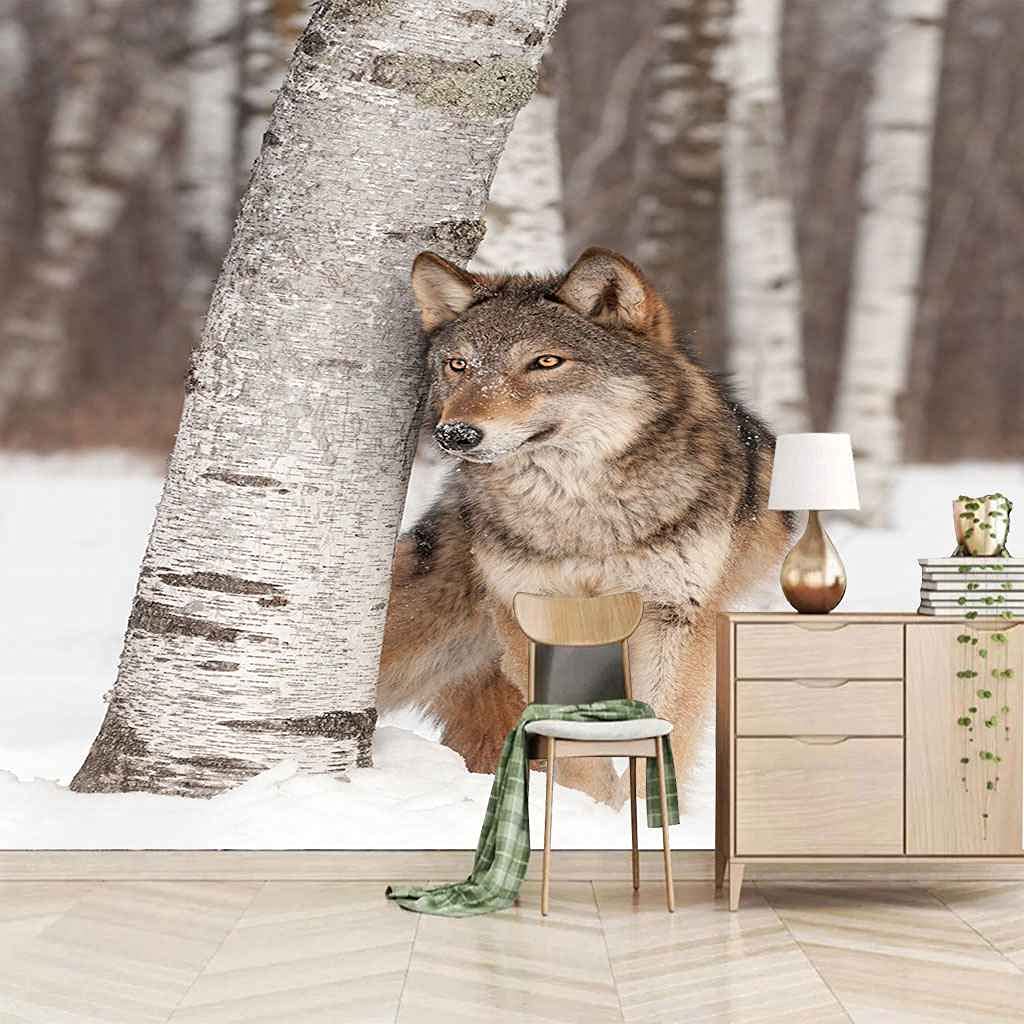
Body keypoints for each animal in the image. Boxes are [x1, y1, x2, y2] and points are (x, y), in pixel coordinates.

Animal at [377, 247, 793, 805]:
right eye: (458, 364)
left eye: (546, 362)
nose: (457, 434)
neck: (581, 515)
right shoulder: (533, 619)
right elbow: (572, 743)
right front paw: (596, 808)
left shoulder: (678, 617)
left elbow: (665, 729)